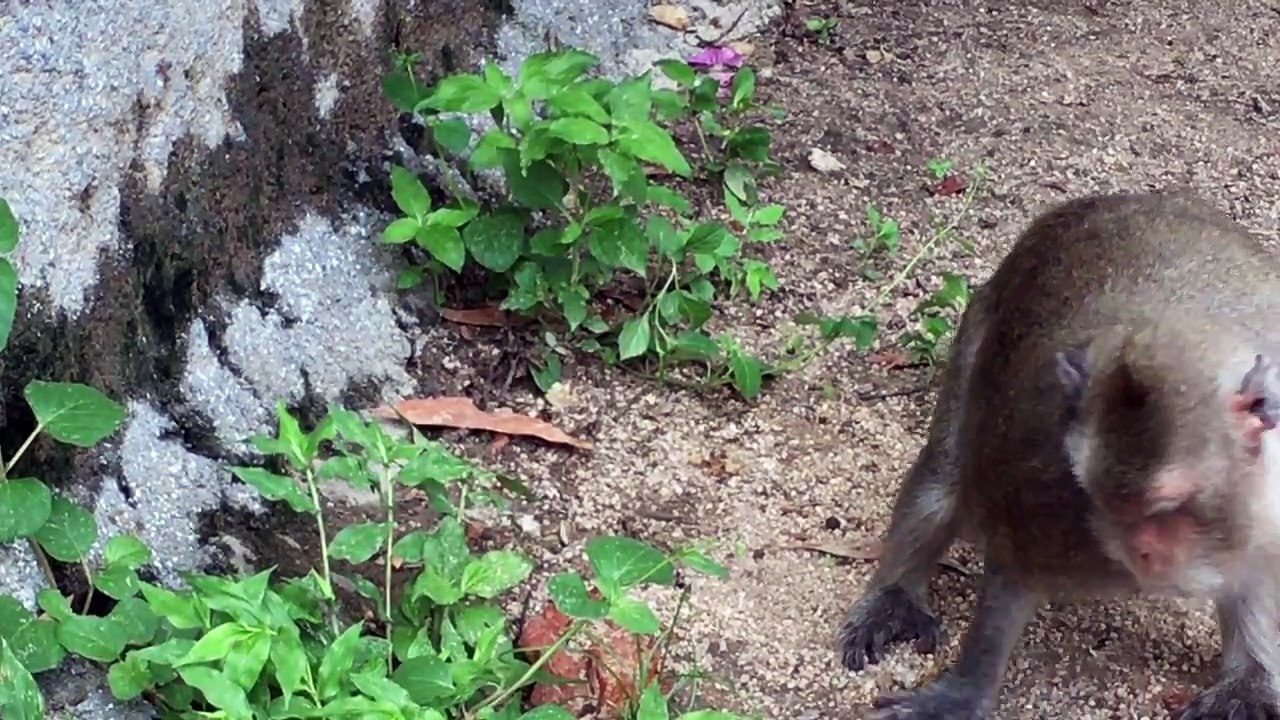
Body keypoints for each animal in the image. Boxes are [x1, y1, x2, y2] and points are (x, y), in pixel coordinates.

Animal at [837, 192, 1280, 719]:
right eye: (1107, 505)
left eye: (1166, 506)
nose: (1142, 553)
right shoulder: (1041, 485)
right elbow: (1012, 566)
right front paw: (965, 692)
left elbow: (1259, 573)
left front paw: (1250, 682)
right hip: (982, 322)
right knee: (947, 472)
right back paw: (894, 592)